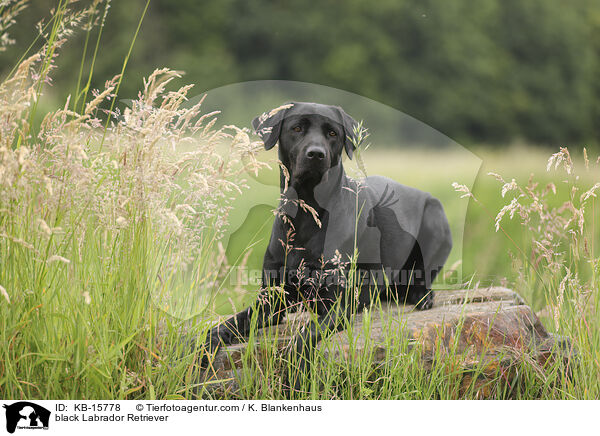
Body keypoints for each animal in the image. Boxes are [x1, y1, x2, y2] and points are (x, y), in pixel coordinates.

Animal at [199, 102, 452, 392]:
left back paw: (422, 296)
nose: (316, 154)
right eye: (297, 128)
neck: (306, 214)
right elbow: (222, 327)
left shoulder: (338, 305)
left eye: (332, 133)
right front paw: (201, 354)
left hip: (435, 215)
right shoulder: (271, 302)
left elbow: (302, 338)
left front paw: (296, 376)